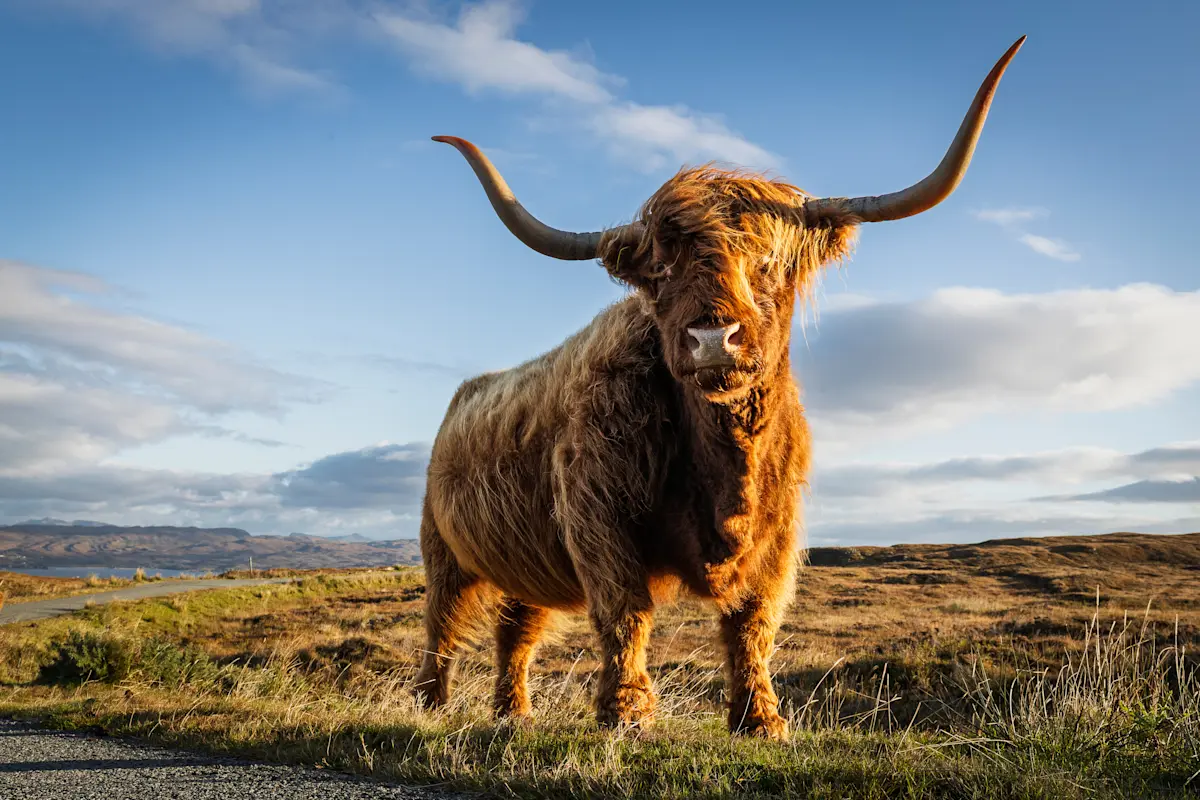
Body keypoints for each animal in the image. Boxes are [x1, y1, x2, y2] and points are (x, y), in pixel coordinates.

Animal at [414, 37, 1025, 740]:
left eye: (769, 262)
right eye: (660, 269)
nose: (713, 338)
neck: (722, 467)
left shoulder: (777, 532)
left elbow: (751, 623)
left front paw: (760, 719)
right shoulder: (597, 516)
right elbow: (624, 611)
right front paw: (626, 714)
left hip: (527, 561)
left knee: (516, 629)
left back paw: (512, 713)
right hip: (443, 551)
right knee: (443, 627)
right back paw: (431, 706)